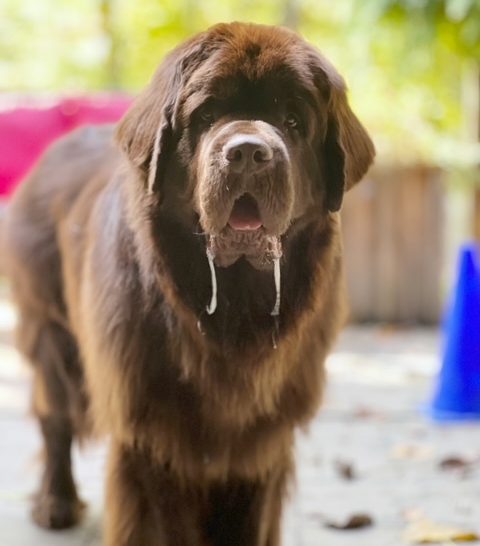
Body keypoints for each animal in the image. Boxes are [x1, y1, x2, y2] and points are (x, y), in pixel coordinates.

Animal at [1, 21, 374, 544]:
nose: (248, 153)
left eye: (293, 120)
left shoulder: (262, 440)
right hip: (54, 334)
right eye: (208, 115)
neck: (235, 304)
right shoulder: (152, 432)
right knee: (55, 417)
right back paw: (56, 502)